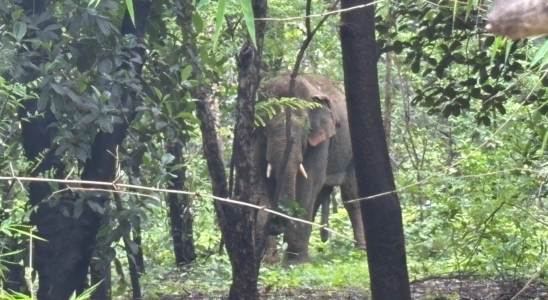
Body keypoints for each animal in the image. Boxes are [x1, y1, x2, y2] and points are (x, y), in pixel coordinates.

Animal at [254, 73, 366, 264]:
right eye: (265, 127)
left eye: (305, 125)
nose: (275, 224)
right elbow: (265, 183)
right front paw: (269, 260)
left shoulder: (321, 137)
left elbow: (309, 182)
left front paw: (294, 262)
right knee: (320, 197)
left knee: (351, 196)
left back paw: (361, 250)